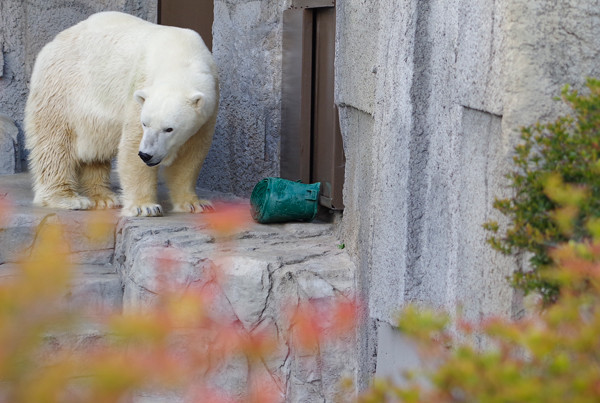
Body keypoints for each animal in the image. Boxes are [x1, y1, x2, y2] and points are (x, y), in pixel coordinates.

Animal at [25, 11, 220, 216]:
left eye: (169, 129)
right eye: (145, 123)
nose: (146, 155)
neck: (181, 57)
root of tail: (52, 44)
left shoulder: (209, 108)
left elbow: (190, 155)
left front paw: (194, 203)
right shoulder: (139, 87)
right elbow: (132, 147)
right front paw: (145, 207)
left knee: (94, 152)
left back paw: (104, 198)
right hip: (62, 90)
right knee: (54, 145)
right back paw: (68, 198)